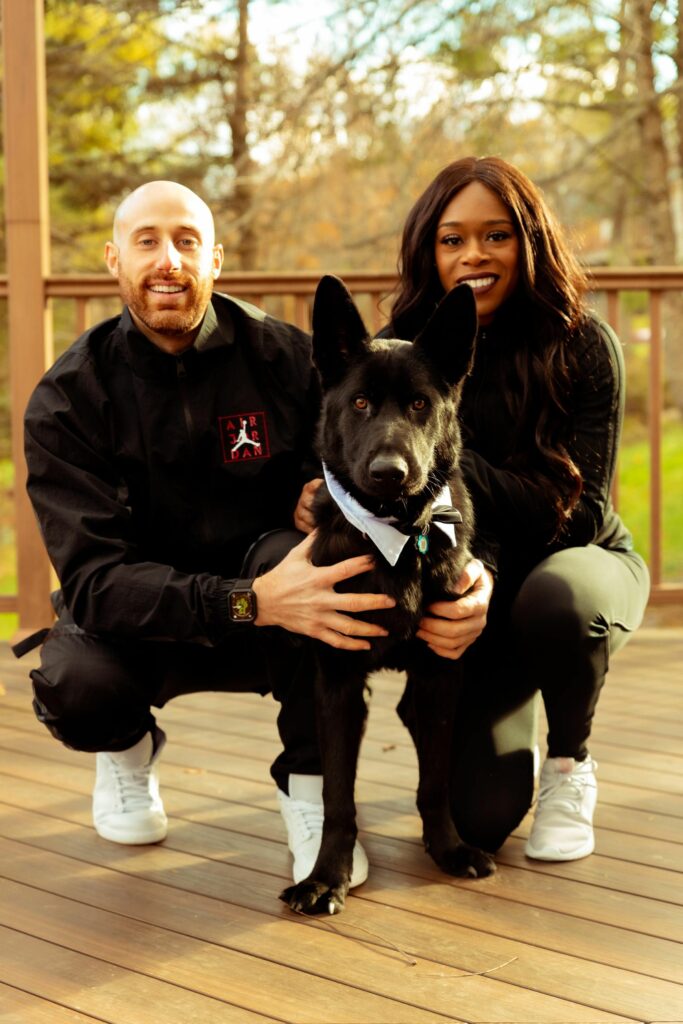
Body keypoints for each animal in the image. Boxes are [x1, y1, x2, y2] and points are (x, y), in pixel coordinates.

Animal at [280, 276, 493, 917]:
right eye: (359, 404)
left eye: (421, 404)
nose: (389, 472)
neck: (399, 536)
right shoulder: (338, 680)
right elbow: (337, 796)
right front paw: (327, 876)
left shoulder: (441, 674)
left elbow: (436, 779)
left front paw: (448, 848)